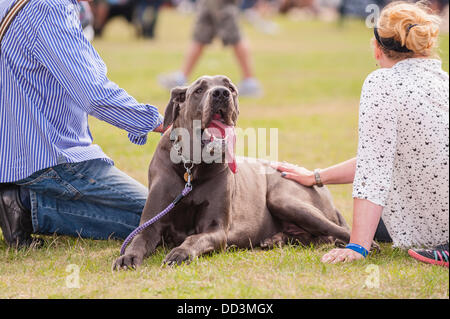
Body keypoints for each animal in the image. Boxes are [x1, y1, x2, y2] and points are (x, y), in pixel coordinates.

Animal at [112, 75, 352, 270]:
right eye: (199, 89)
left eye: (231, 87)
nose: (221, 93)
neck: (192, 166)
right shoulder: (150, 224)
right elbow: (137, 240)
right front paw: (127, 257)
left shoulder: (216, 231)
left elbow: (194, 239)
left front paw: (180, 252)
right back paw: (275, 240)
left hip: (283, 199)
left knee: (339, 233)